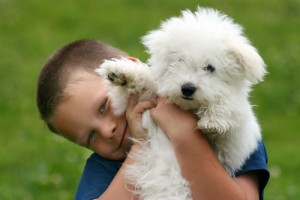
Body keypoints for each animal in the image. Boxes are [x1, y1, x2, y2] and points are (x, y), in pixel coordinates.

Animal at [96, 6, 268, 200]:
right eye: (180, 60)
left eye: (210, 68)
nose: (187, 88)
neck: (188, 107)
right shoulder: (140, 98)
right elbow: (144, 82)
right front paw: (122, 72)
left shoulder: (232, 144)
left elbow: (231, 103)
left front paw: (214, 119)